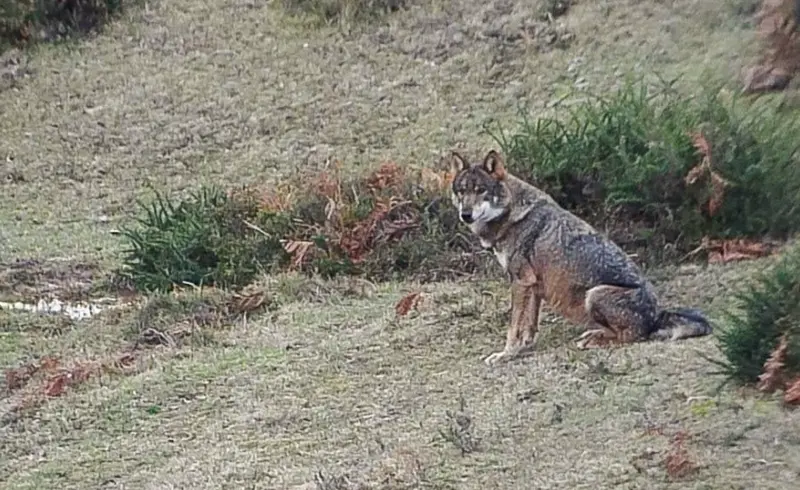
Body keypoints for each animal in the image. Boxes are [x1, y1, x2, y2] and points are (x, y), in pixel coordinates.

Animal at [448, 149, 713, 365]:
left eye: (481, 191)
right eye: (461, 192)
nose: (465, 215)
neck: (511, 215)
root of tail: (657, 316)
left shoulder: (520, 282)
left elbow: (513, 327)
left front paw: (505, 354)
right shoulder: (533, 285)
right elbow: (529, 327)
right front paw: (523, 349)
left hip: (594, 295)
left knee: (632, 337)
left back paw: (593, 340)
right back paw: (592, 335)